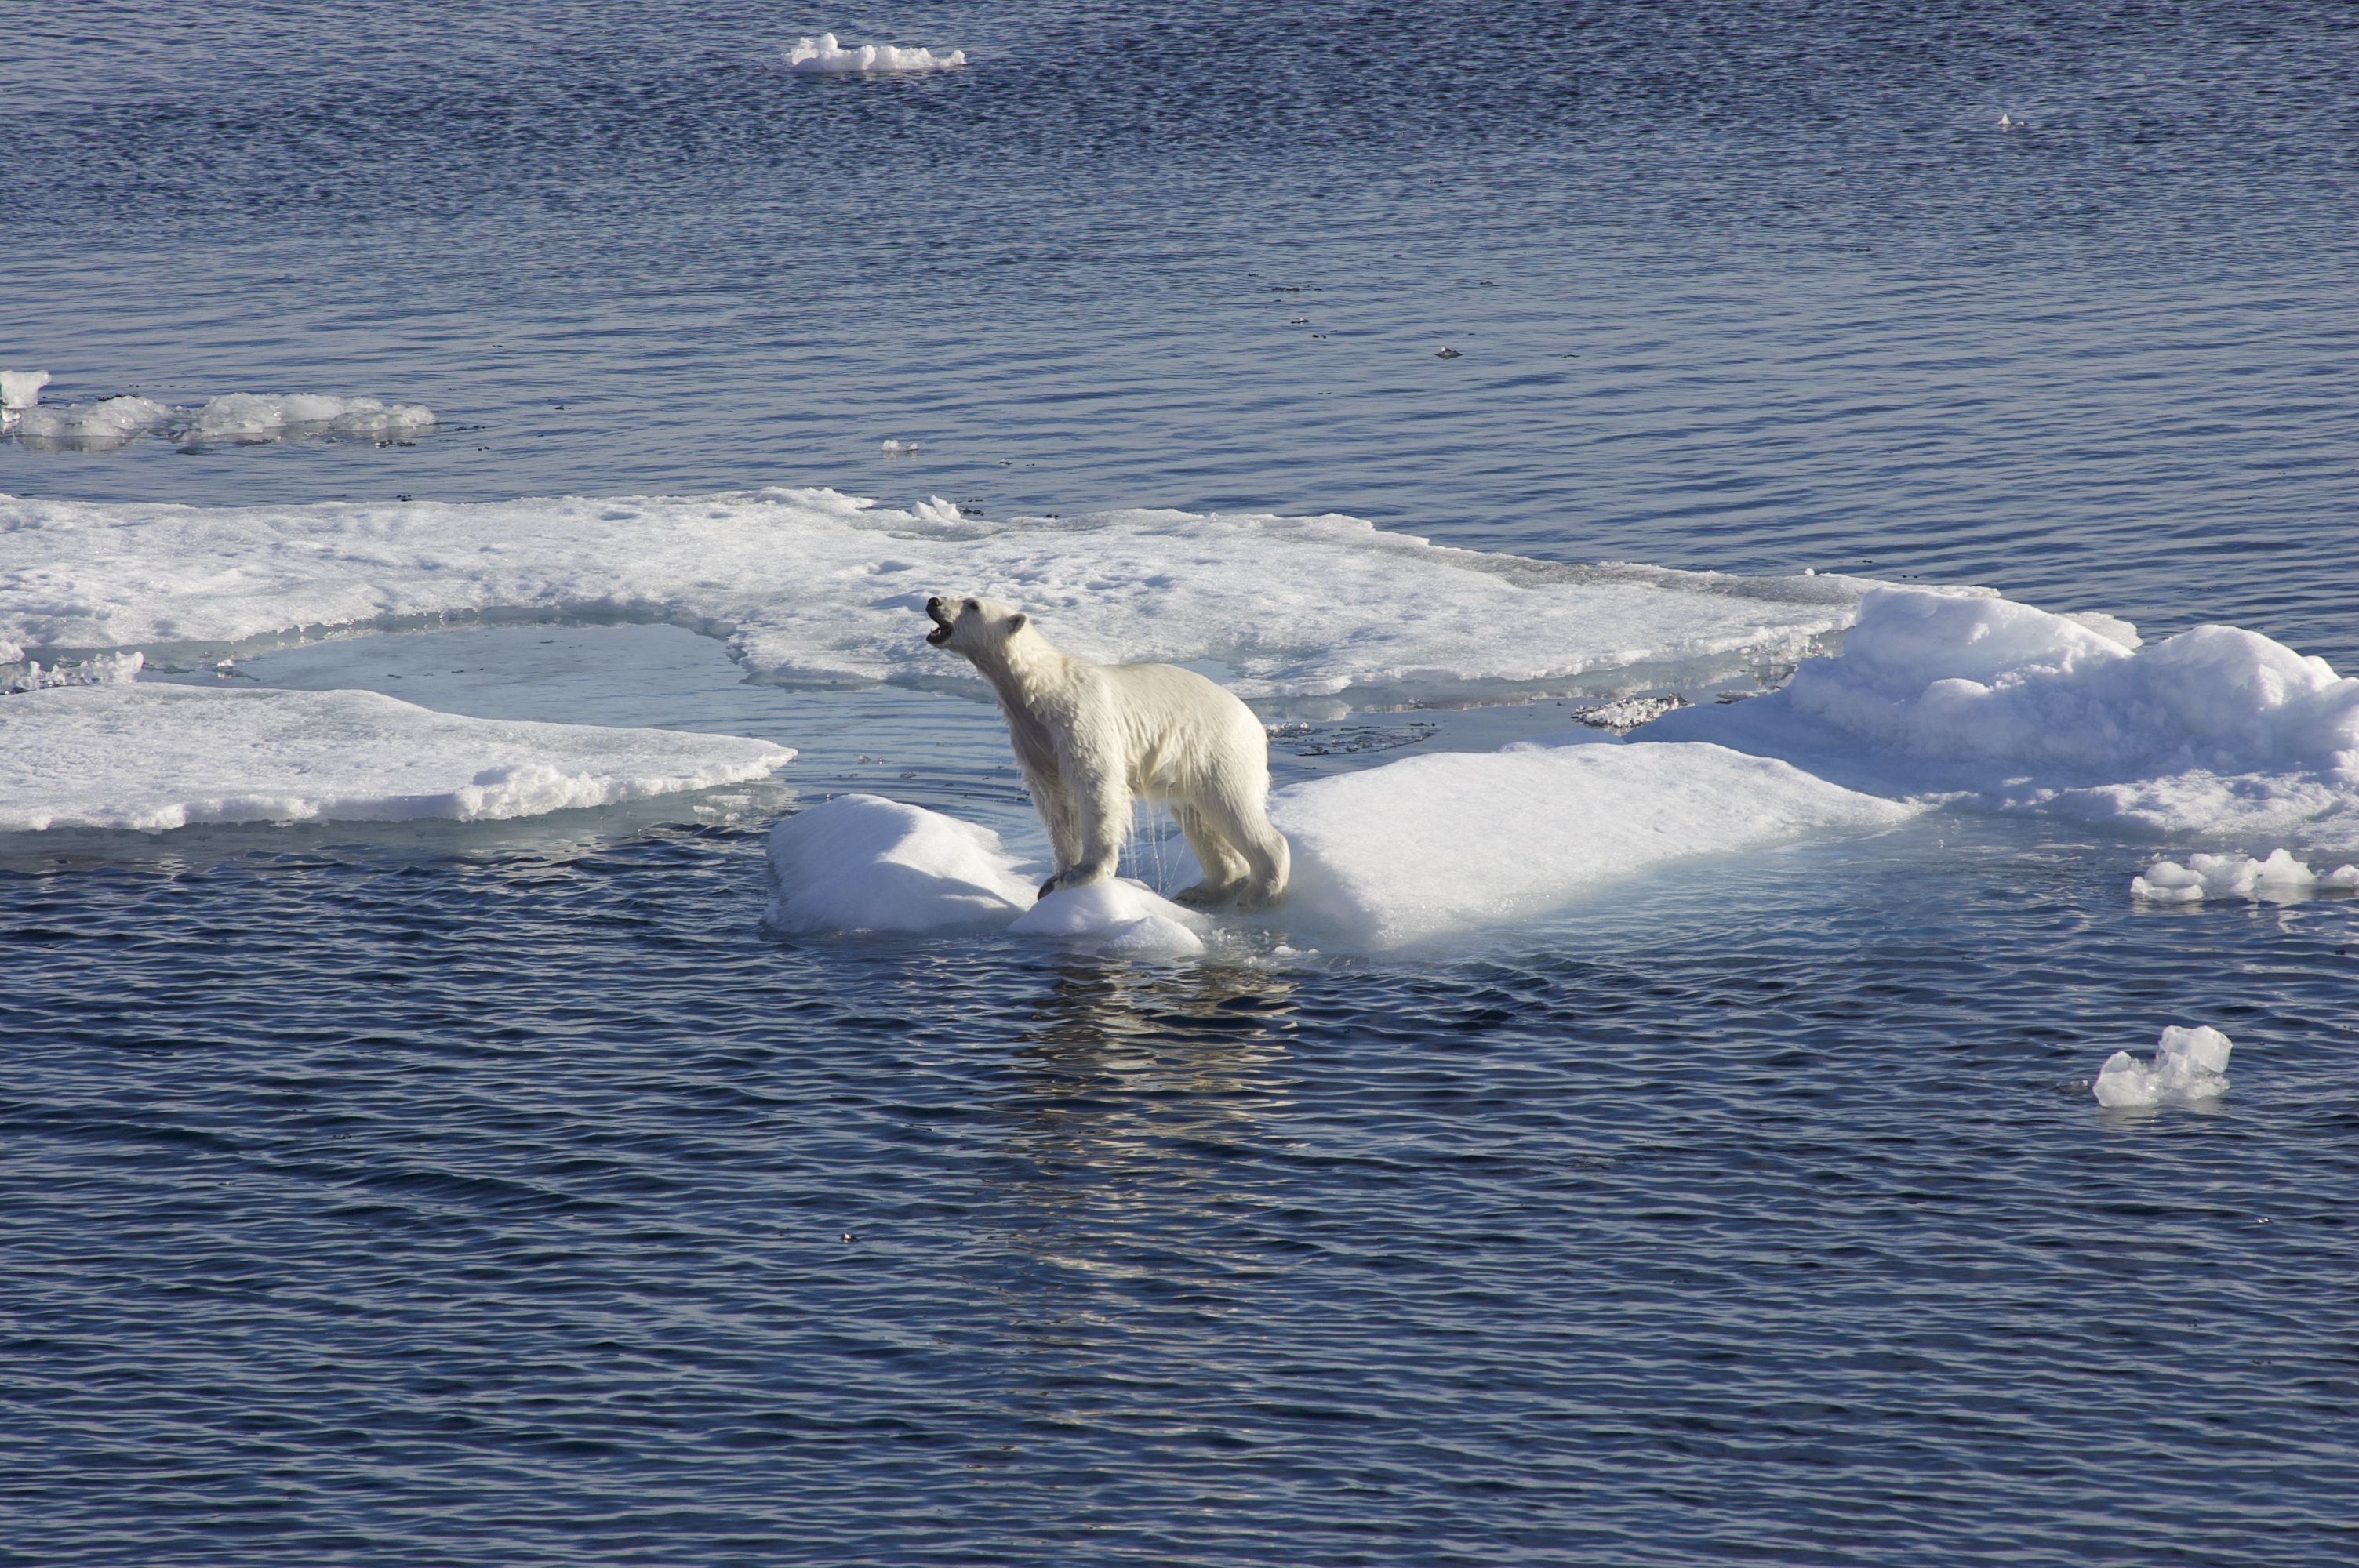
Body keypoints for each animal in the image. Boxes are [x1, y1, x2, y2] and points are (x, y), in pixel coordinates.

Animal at [924, 595, 1290, 910]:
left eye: (973, 604)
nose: (933, 601)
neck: (1041, 687)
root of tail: (1255, 723)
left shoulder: (1081, 720)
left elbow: (1097, 787)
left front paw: (1083, 874)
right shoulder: (1033, 737)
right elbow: (1053, 800)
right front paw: (1053, 879)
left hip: (1217, 747)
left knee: (1232, 804)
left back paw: (1259, 893)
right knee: (1197, 817)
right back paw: (1202, 891)